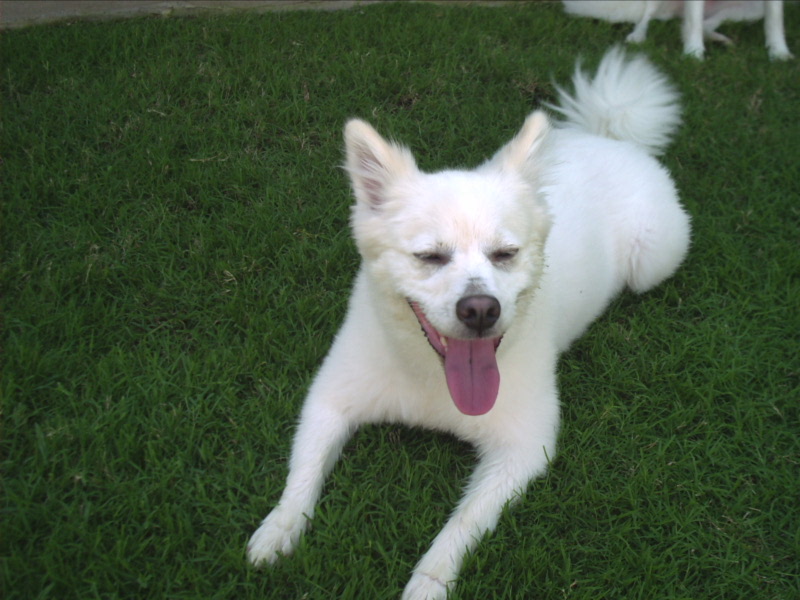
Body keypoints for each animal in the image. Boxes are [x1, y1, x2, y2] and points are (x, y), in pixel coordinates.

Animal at [246, 48, 691, 600]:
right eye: (430, 257)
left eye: (505, 254)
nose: (480, 309)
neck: (432, 379)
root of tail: (609, 137)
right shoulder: (329, 399)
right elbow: (301, 477)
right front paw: (277, 531)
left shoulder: (523, 447)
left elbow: (461, 524)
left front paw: (430, 582)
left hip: (652, 262)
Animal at [563, 0, 793, 60]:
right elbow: (693, 22)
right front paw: (693, 53)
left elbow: (775, 19)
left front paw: (779, 52)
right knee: (648, 13)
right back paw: (638, 35)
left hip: (752, 9)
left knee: (705, 23)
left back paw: (719, 39)